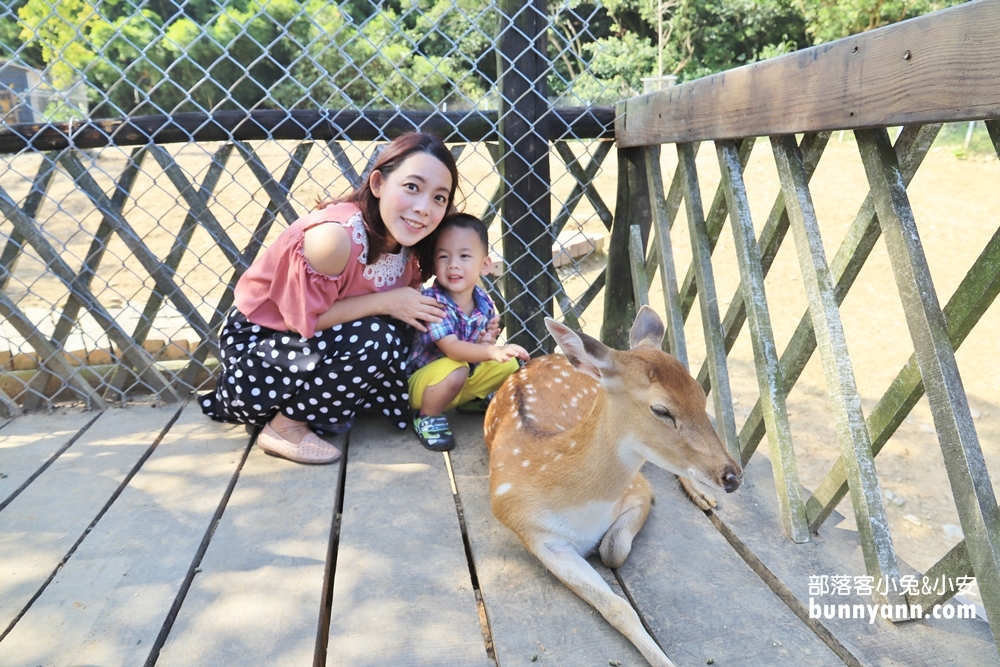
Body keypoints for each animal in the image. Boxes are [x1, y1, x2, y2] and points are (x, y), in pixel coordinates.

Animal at [484, 308, 744, 667]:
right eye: (661, 409)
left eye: (701, 394)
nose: (732, 476)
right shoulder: (535, 535)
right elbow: (617, 605)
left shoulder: (638, 488)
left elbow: (613, 549)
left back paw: (703, 495)